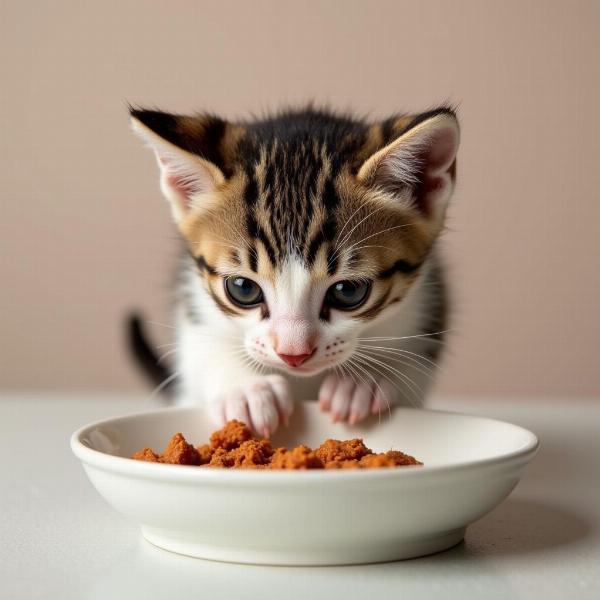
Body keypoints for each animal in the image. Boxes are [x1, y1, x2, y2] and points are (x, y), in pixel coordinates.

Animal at [129, 106, 460, 436]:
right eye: (243, 288)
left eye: (348, 291)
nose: (293, 354)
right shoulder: (193, 303)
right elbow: (200, 352)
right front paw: (246, 389)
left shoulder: (427, 304)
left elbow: (415, 364)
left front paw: (365, 381)